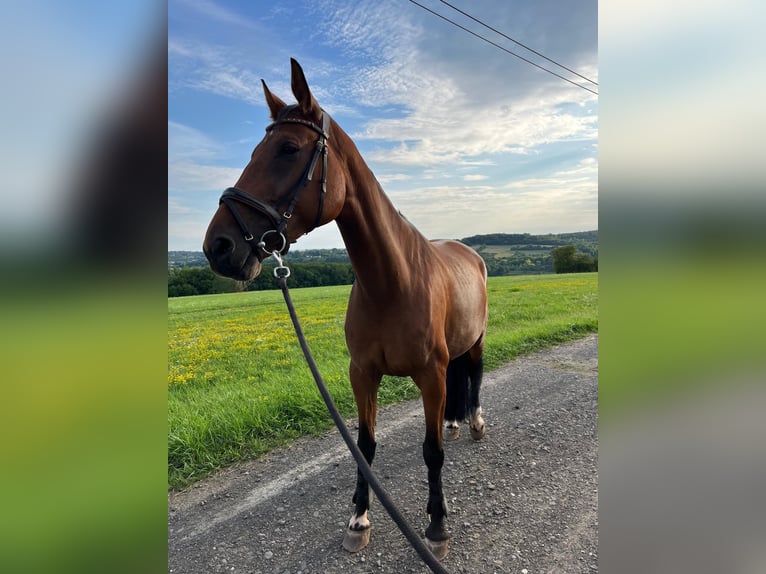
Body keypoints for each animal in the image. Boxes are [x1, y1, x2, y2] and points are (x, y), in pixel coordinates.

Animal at [203, 58, 488, 560]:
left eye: (288, 148)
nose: (218, 246)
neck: (392, 283)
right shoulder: (363, 374)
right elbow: (365, 447)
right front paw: (358, 520)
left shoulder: (430, 375)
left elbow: (431, 451)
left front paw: (436, 527)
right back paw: (455, 422)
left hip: (475, 342)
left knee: (472, 375)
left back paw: (472, 421)